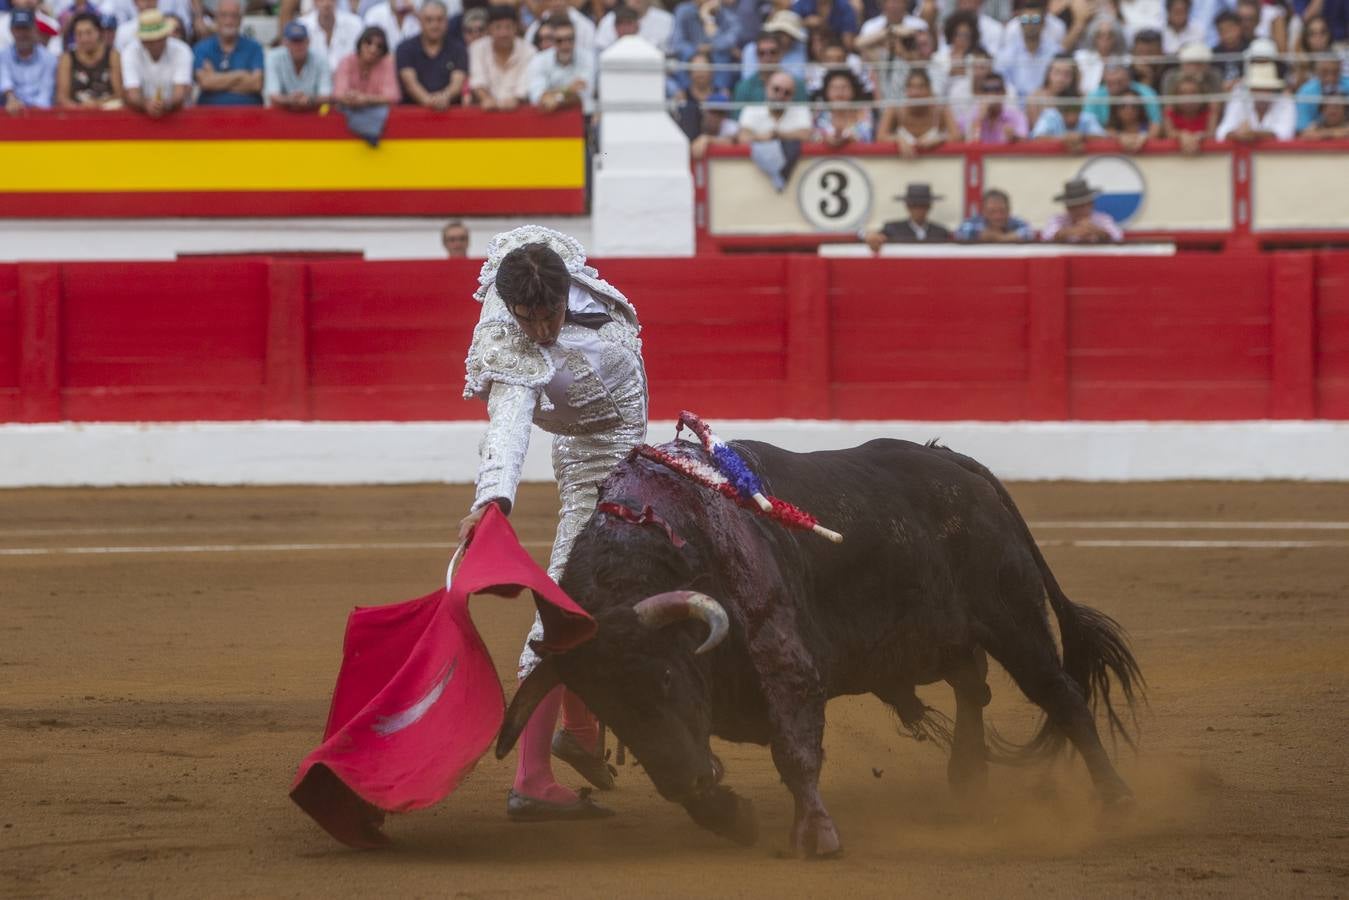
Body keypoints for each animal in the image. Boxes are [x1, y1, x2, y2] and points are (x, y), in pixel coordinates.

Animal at [501, 437, 1143, 858]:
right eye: (606, 709)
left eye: (664, 676)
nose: (686, 781)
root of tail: (954, 462)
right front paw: (732, 818)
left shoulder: (788, 665)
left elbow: (795, 750)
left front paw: (816, 836)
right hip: (943, 637)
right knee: (972, 685)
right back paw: (966, 781)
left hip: (1013, 619)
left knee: (1061, 696)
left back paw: (1115, 798)